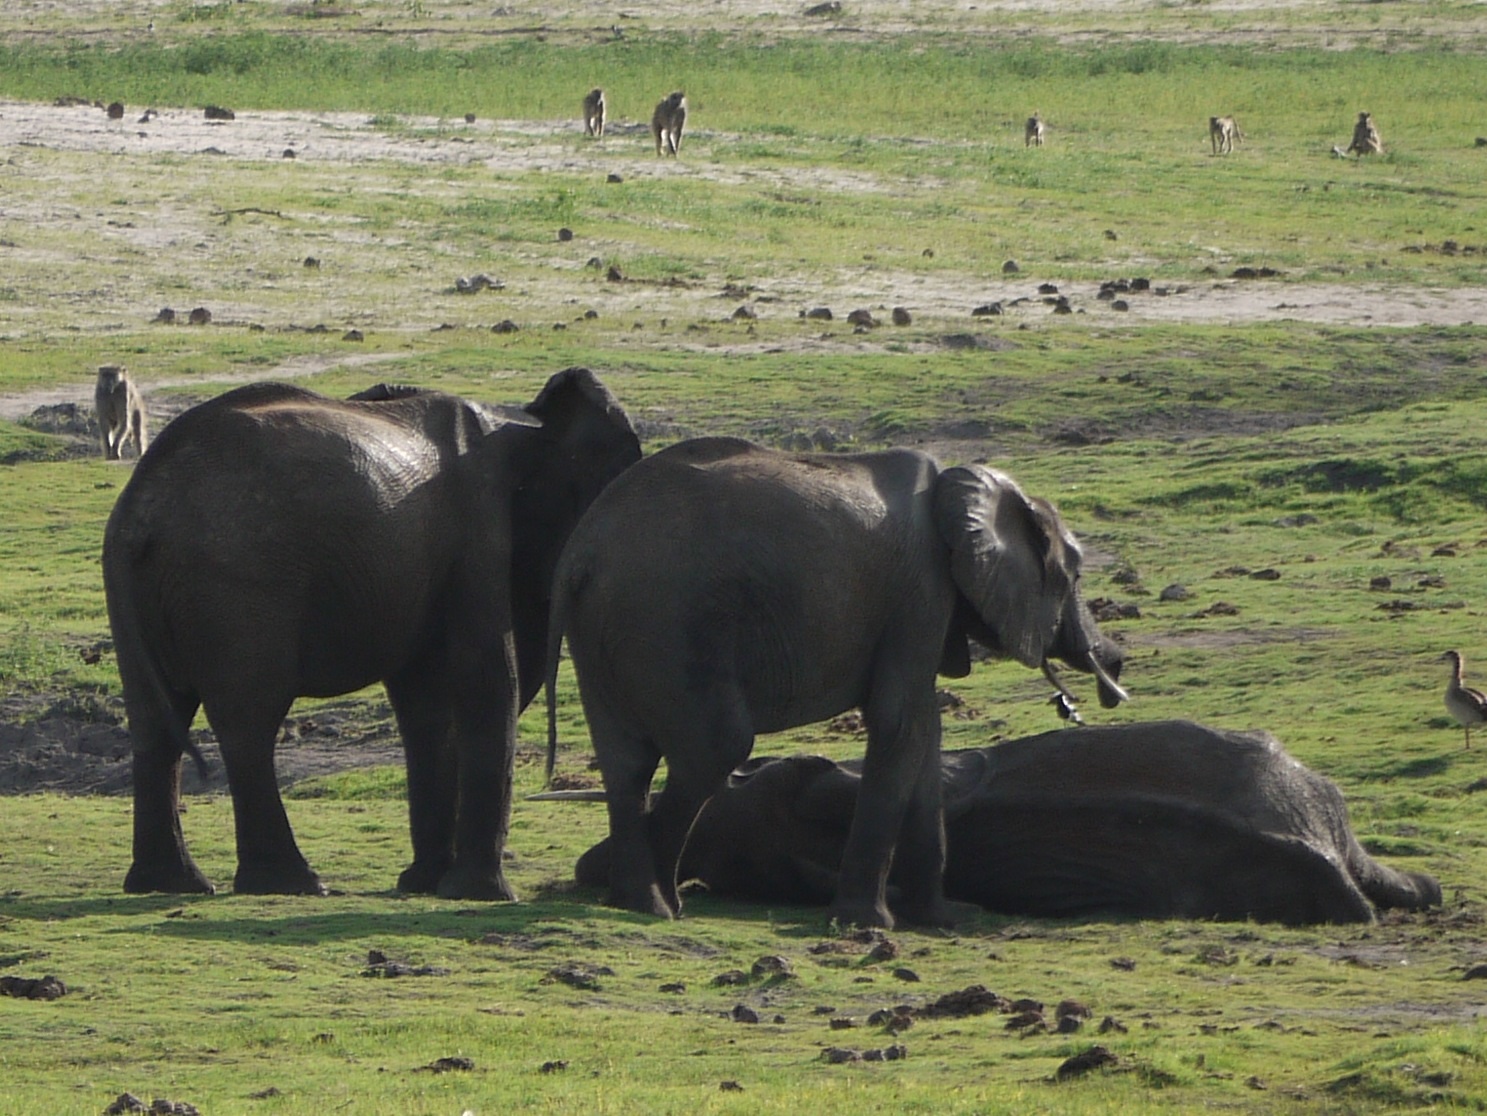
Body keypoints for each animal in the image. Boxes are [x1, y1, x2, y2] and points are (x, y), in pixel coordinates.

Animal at [104, 371, 639, 903]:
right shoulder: (477, 531)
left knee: (156, 720)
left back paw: (171, 883)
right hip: (238, 583)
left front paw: (425, 883)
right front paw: (478, 894)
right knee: (249, 720)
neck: (524, 422)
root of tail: (139, 506)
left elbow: (425, 701)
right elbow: (485, 677)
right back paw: (293, 882)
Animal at [547, 439, 1124, 927]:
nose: (1114, 670)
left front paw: (943, 918)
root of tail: (577, 557)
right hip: (665, 620)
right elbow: (899, 722)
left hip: (607, 630)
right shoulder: (920, 591)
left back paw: (636, 901)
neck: (963, 486)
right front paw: (867, 924)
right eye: (1074, 574)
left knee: (627, 762)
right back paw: (661, 907)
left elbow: (924, 732)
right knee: (716, 747)